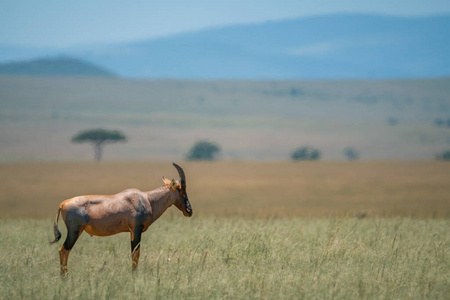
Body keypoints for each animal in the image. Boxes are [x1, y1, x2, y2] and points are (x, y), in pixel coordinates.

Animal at [51, 163, 192, 276]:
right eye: (181, 190)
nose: (189, 211)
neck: (146, 199)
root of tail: (63, 203)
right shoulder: (136, 229)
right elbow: (136, 253)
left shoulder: (131, 231)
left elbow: (133, 253)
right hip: (74, 231)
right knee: (64, 250)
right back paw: (65, 278)